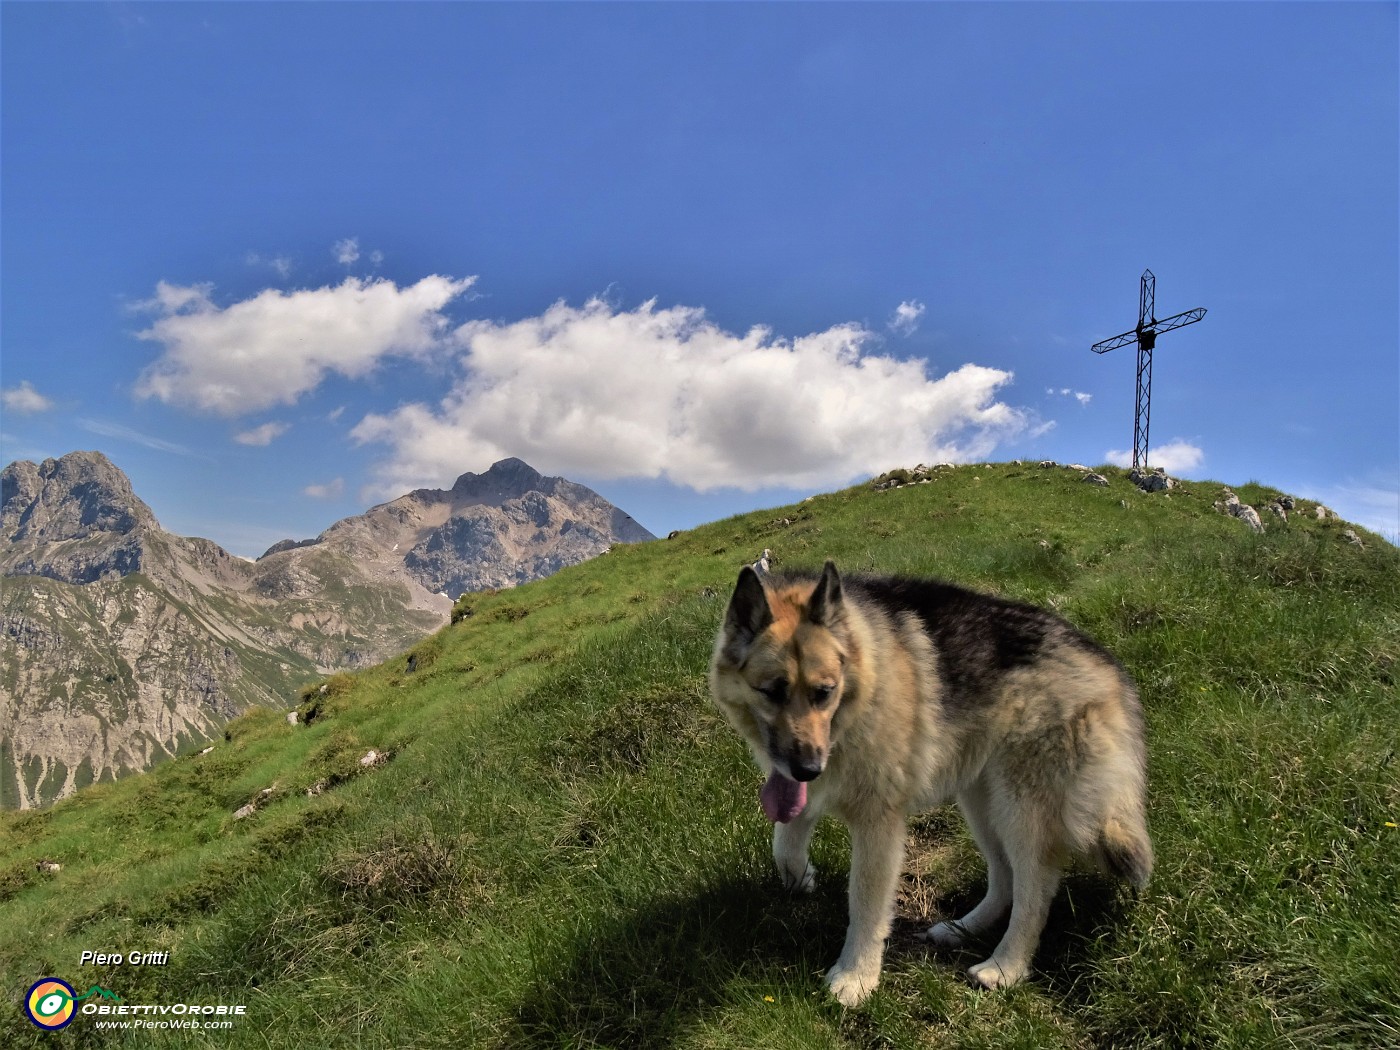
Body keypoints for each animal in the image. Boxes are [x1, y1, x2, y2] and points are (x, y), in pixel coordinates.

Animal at [705, 562, 1153, 1008]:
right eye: (771, 692)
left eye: (824, 692)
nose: (810, 768)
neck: (864, 677)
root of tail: (1107, 665)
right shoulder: (798, 783)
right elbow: (785, 844)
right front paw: (801, 880)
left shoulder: (879, 824)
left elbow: (865, 903)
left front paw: (856, 976)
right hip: (981, 802)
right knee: (1005, 877)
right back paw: (963, 929)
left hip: (1019, 810)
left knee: (1036, 889)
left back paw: (1005, 966)